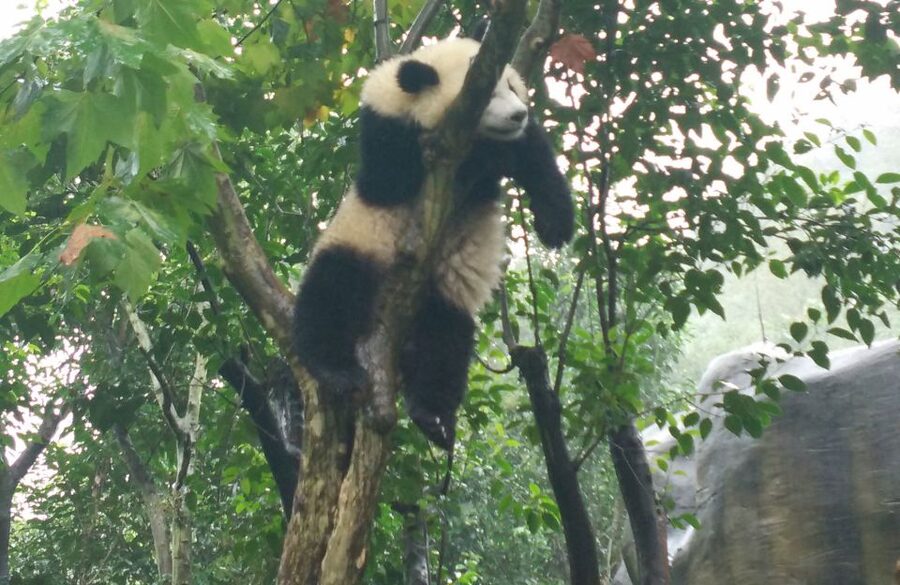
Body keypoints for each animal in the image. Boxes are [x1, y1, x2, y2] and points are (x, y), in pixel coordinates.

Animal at [293, 37, 574, 450]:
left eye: (511, 85)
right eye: (487, 95)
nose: (519, 115)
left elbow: (537, 163)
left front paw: (555, 226)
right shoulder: (386, 132)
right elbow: (394, 176)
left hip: (442, 287)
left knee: (443, 338)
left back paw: (434, 418)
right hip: (360, 241)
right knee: (333, 289)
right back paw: (337, 371)